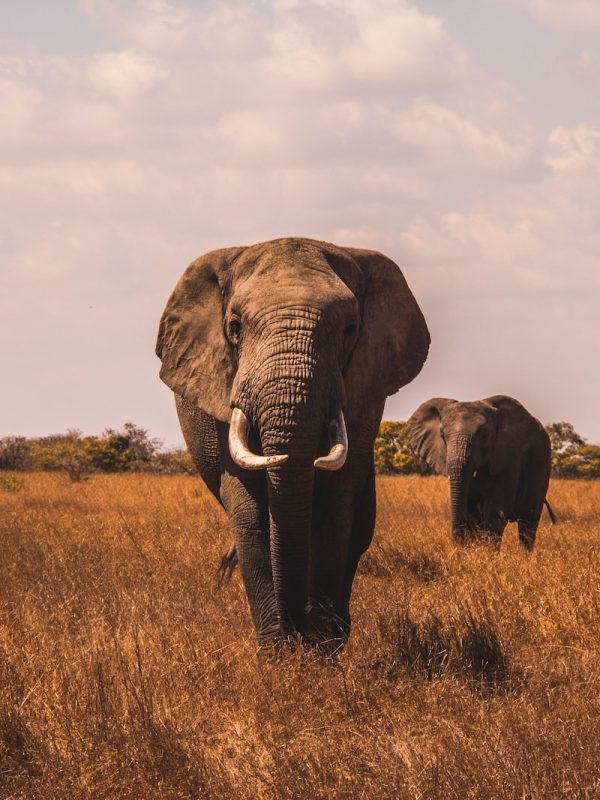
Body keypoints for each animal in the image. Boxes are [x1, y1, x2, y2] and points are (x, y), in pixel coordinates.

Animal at [156, 237, 429, 648]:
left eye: (350, 328)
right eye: (235, 327)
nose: (298, 631)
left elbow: (337, 507)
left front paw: (322, 648)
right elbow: (250, 513)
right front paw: (279, 652)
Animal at [406, 395, 555, 550]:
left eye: (484, 435)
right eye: (442, 435)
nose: (458, 544)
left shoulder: (509, 458)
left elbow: (496, 513)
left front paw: (488, 554)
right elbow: (472, 513)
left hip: (543, 470)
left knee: (528, 525)